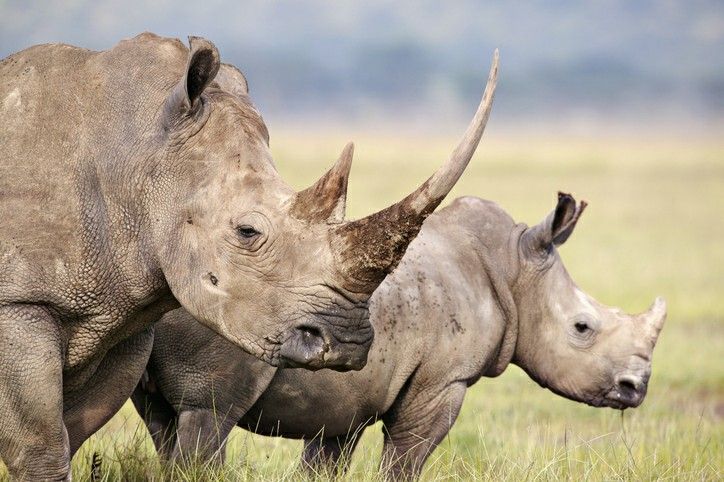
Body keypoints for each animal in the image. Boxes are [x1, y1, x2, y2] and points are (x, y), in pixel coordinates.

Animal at [0, 32, 498, 479]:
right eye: (247, 232)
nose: (347, 344)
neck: (138, 158)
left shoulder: (121, 313)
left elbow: (72, 431)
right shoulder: (19, 302)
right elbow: (41, 444)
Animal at [133, 192, 667, 479]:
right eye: (582, 328)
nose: (635, 388)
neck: (514, 269)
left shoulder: (345, 400)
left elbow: (324, 461)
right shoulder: (443, 380)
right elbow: (406, 460)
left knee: (164, 420)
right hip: (221, 309)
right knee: (208, 414)